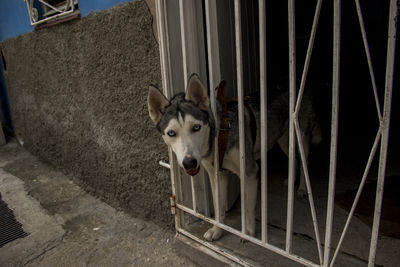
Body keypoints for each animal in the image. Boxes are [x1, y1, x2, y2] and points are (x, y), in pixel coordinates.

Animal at [148, 74, 322, 242]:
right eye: (171, 133)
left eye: (196, 127)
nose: (189, 162)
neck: (219, 135)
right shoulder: (217, 175)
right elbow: (219, 208)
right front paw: (217, 231)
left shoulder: (250, 172)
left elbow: (248, 207)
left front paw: (249, 233)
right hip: (283, 140)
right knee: (294, 159)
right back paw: (291, 180)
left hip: (301, 137)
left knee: (305, 161)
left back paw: (302, 188)